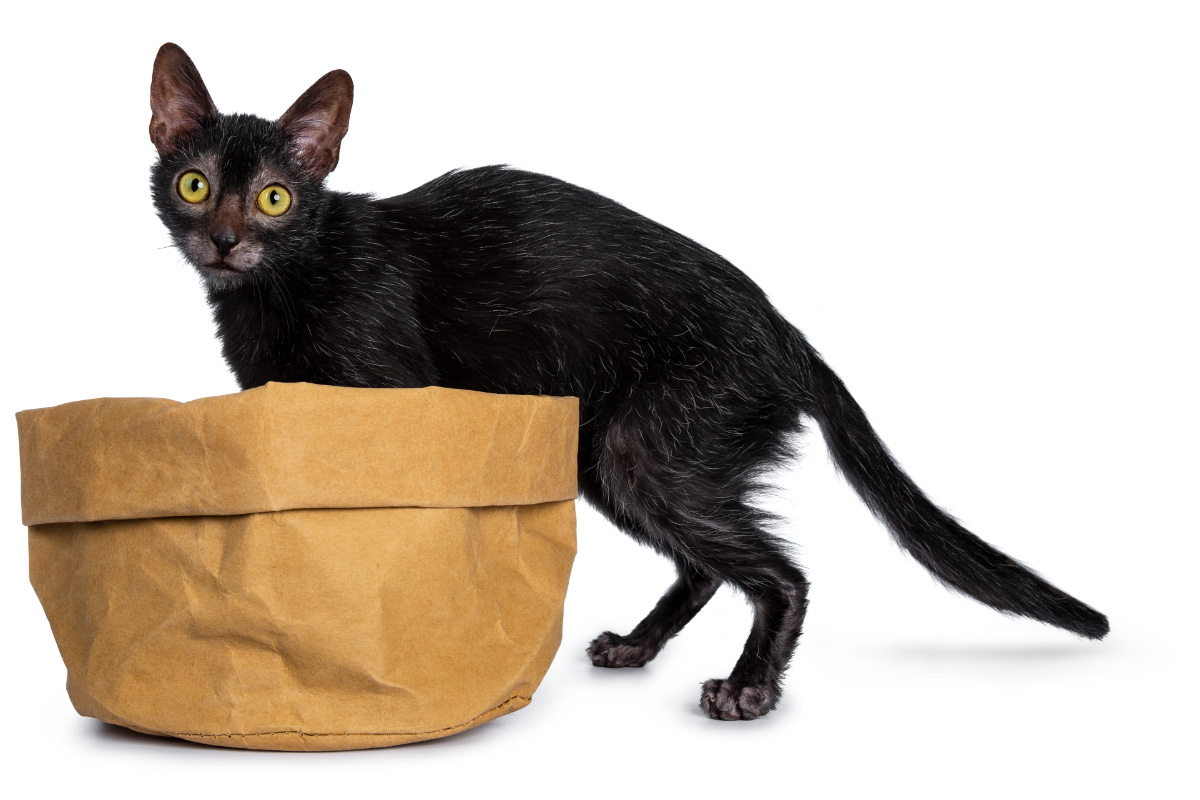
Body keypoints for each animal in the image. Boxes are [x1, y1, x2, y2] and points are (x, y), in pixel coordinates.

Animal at [147, 42, 1104, 719]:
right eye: (195, 185)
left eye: (275, 197)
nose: (226, 239)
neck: (284, 286)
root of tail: (785, 333)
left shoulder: (396, 394)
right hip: (606, 453)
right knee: (706, 569)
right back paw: (639, 648)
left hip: (647, 447)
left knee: (780, 574)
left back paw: (749, 688)